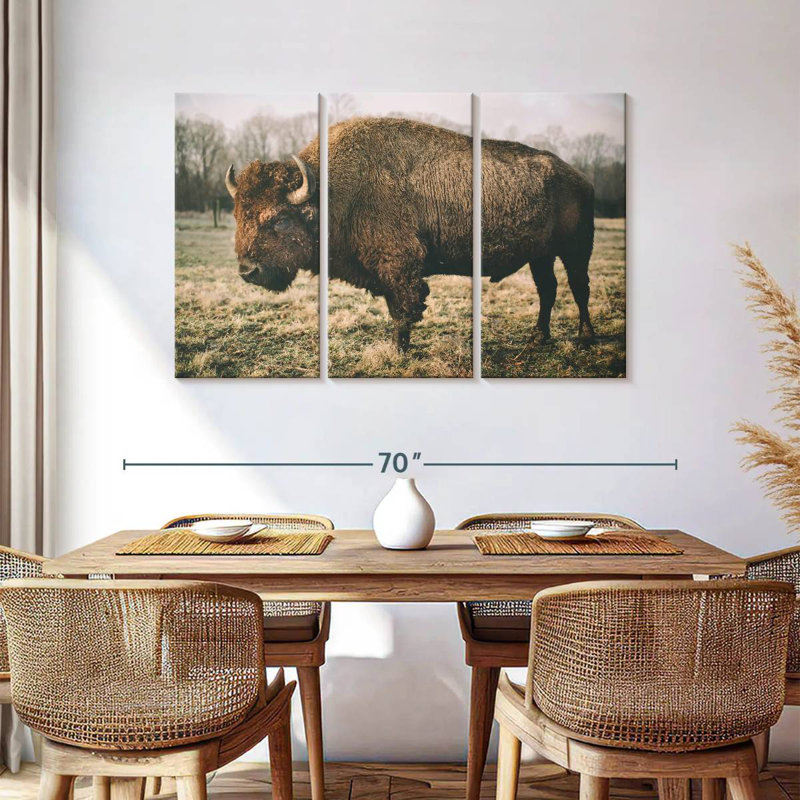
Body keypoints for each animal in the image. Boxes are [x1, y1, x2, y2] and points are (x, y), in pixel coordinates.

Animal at [225, 116, 595, 353]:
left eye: (279, 220)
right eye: (238, 215)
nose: (248, 271)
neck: (331, 191)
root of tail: (579, 177)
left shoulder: (399, 265)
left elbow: (404, 309)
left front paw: (397, 350)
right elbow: (395, 307)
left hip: (576, 250)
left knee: (579, 289)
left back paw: (585, 338)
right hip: (541, 255)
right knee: (548, 290)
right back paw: (538, 338)